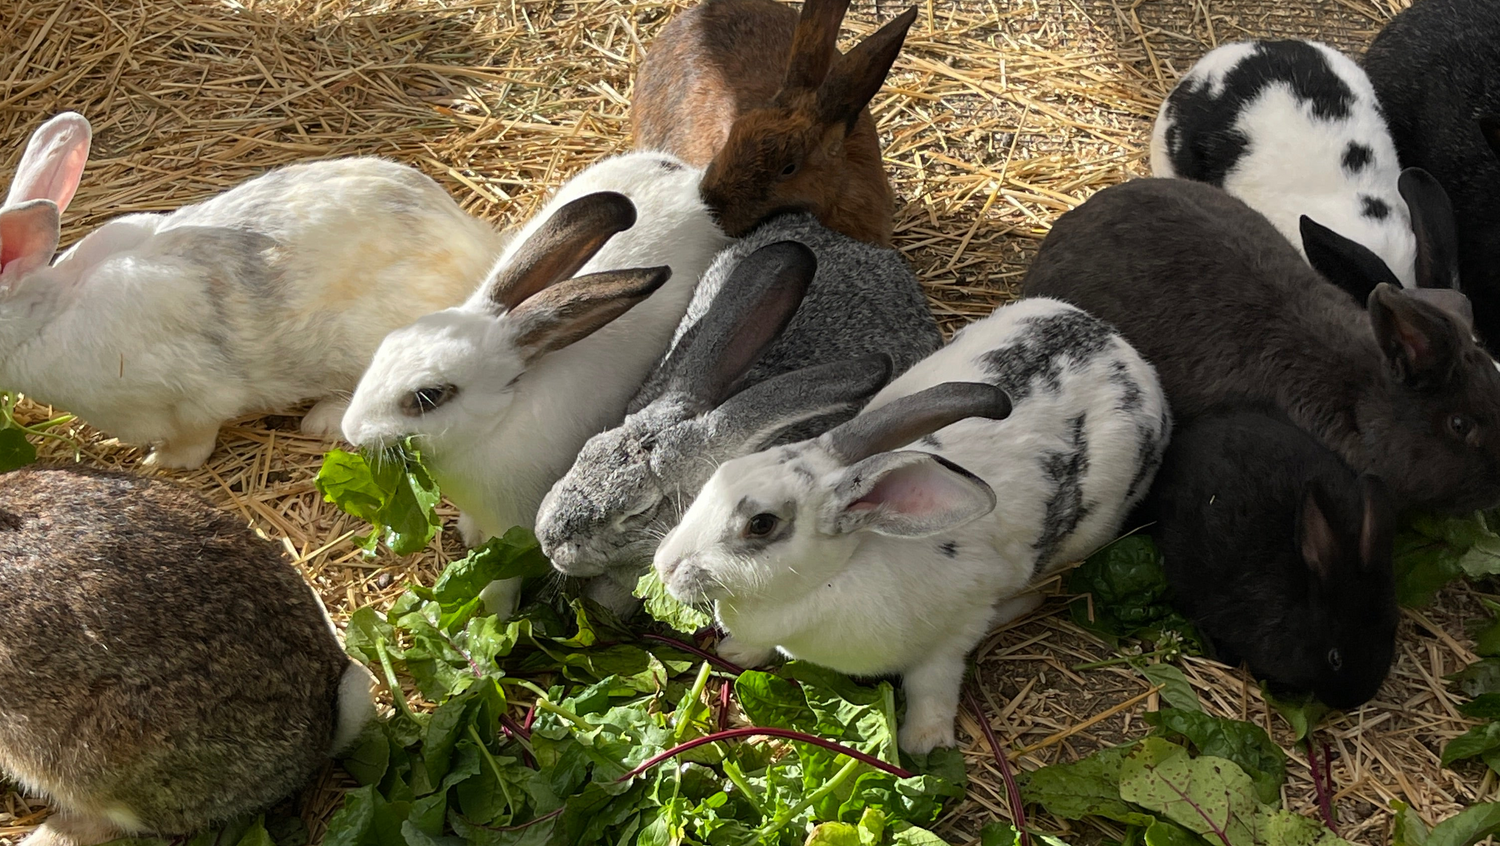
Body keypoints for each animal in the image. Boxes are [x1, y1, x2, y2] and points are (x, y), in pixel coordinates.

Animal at [0, 112, 510, 469]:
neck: (48, 316)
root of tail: (475, 243)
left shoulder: (192, 400)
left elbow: (196, 440)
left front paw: (160, 463)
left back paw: (321, 420)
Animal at [341, 152, 728, 618]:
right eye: (389, 343)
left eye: (428, 397)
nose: (351, 431)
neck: (496, 421)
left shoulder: (514, 531)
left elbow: (502, 577)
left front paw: (492, 614)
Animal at [653, 297, 1172, 753]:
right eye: (719, 475)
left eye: (761, 524)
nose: (664, 566)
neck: (834, 577)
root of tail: (1119, 347)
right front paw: (737, 654)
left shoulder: (953, 634)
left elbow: (932, 684)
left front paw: (925, 743)